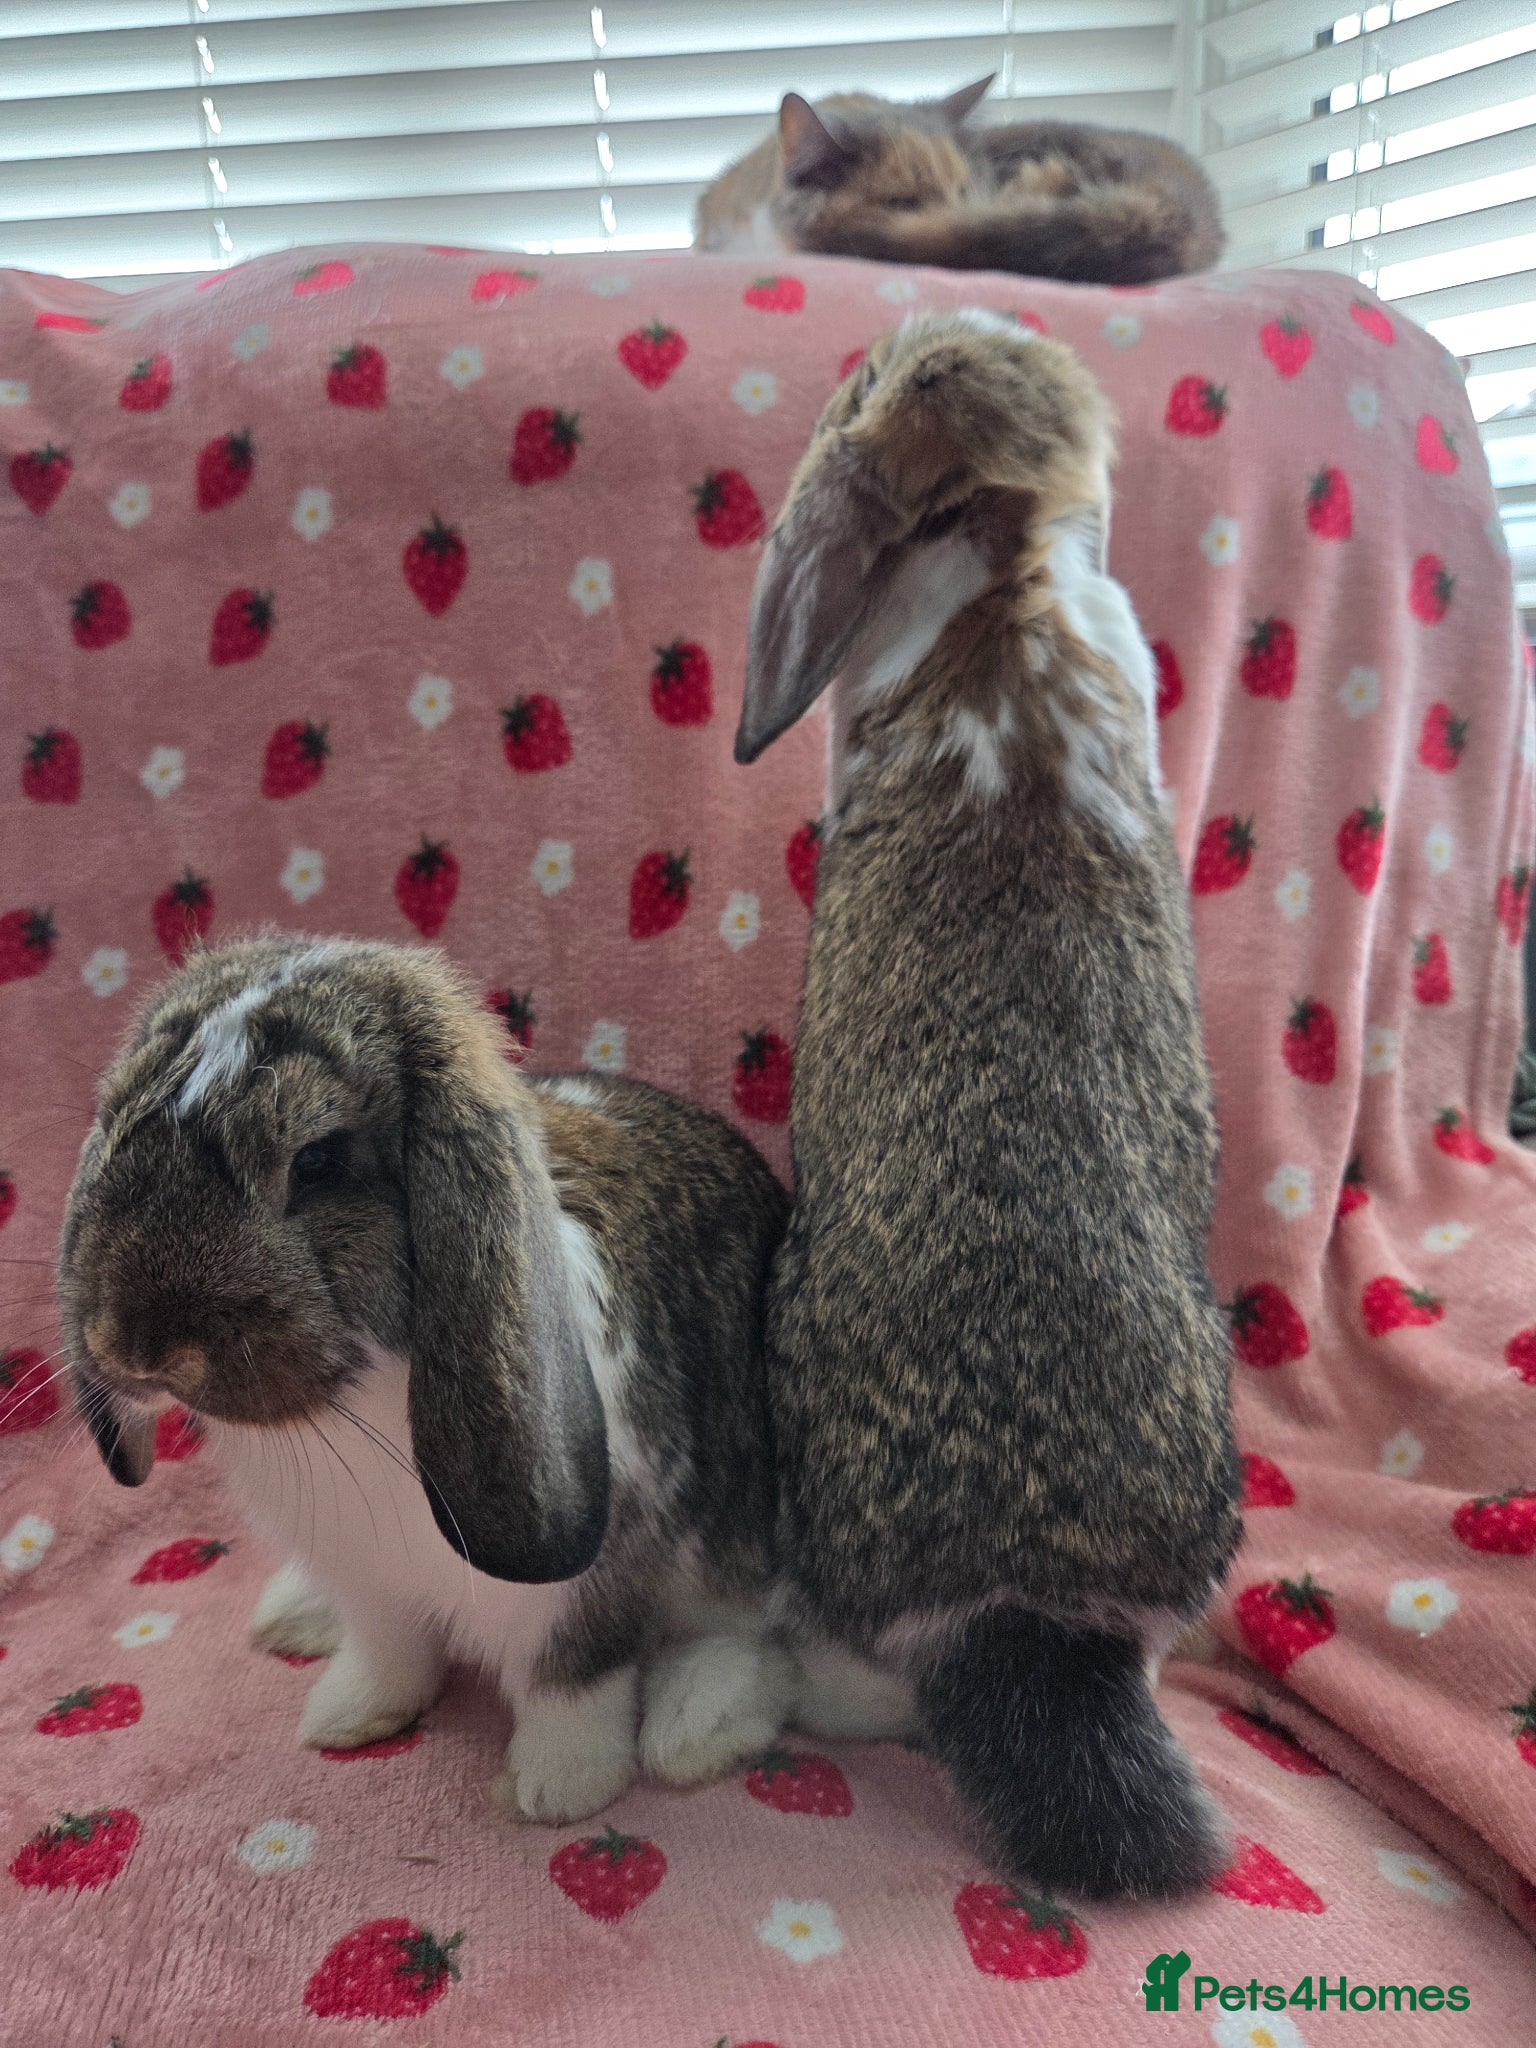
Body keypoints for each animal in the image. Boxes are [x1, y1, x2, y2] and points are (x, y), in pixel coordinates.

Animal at [57, 934, 796, 1823]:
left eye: (319, 1160)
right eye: (117, 1124)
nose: (134, 1348)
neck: (363, 1396)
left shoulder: (578, 1597)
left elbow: (571, 1686)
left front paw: (557, 1791)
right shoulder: (371, 1584)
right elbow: (391, 1658)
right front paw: (346, 1717)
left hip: (735, 1532)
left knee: (748, 1636)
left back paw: (692, 1734)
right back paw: (292, 1616)